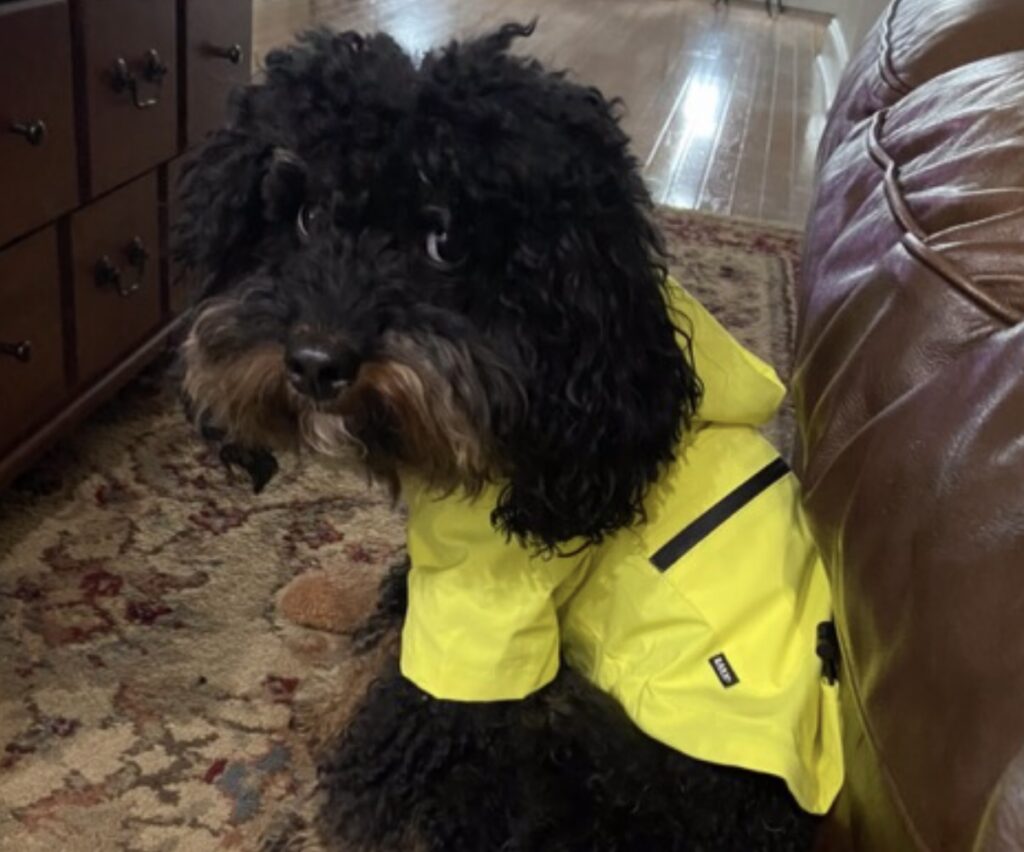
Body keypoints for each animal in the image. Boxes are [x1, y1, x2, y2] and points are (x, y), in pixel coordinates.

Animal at [174, 23, 839, 847]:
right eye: (305, 216)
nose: (315, 363)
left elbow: (391, 699)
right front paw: (324, 617)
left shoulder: (486, 620)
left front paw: (326, 725)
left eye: (447, 243)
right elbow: (387, 607)